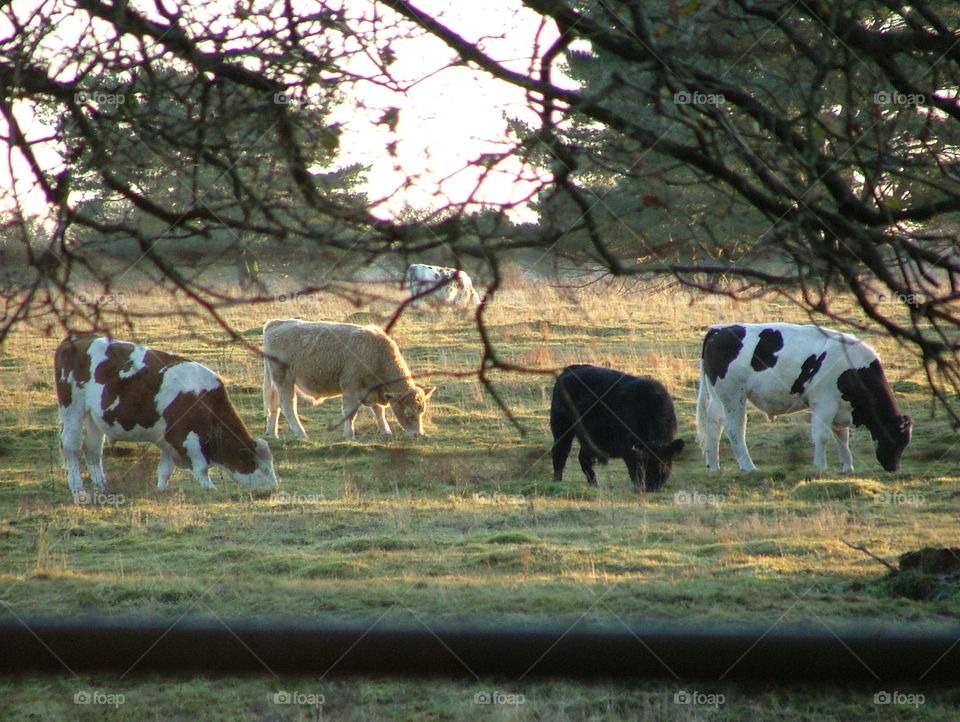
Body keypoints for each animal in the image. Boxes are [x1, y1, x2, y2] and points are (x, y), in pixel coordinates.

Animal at [54, 334, 278, 501]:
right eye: (262, 468)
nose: (273, 488)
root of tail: (75, 338)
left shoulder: (167, 441)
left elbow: (165, 469)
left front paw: (161, 489)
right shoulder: (185, 437)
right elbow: (201, 469)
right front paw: (210, 488)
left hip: (93, 417)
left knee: (92, 449)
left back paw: (102, 487)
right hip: (73, 408)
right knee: (72, 447)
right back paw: (78, 489)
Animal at [263, 318, 436, 440]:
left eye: (422, 411)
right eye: (408, 413)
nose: (418, 434)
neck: (376, 354)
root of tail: (277, 323)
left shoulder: (372, 391)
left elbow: (378, 411)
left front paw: (385, 431)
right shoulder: (351, 388)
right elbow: (350, 413)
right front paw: (349, 435)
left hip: (276, 381)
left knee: (274, 405)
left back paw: (272, 433)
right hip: (284, 380)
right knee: (287, 405)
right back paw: (300, 433)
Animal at [550, 364, 685, 492]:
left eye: (664, 464)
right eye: (647, 462)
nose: (652, 487)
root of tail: (569, 370)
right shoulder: (628, 445)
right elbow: (636, 468)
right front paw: (639, 488)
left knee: (585, 458)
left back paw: (595, 485)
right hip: (561, 426)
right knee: (560, 452)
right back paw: (557, 482)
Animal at [696, 323, 912, 472]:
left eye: (905, 443)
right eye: (895, 439)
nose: (894, 468)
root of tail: (719, 329)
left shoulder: (840, 407)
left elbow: (842, 438)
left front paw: (847, 468)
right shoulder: (823, 404)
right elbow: (822, 436)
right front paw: (820, 466)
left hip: (719, 396)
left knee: (714, 424)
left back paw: (714, 466)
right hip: (734, 395)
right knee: (735, 429)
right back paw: (748, 467)